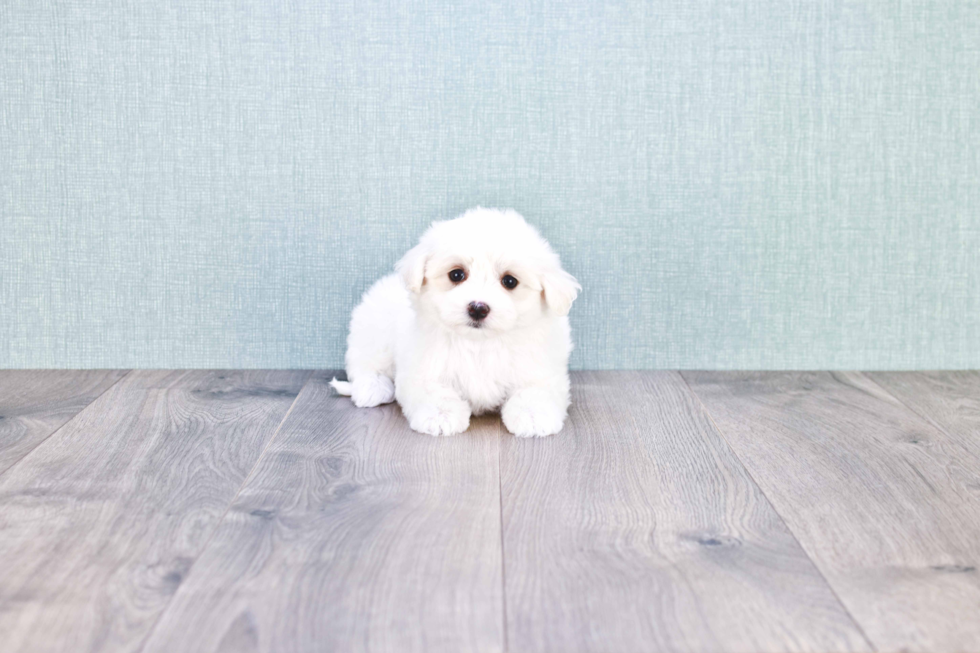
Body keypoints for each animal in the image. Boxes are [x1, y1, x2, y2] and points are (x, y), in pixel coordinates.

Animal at [330, 206, 580, 436]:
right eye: (456, 275)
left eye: (510, 281)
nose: (478, 308)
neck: (479, 343)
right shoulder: (422, 368)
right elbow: (434, 391)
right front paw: (440, 415)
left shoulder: (540, 369)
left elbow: (535, 390)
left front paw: (533, 415)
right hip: (372, 327)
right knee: (365, 362)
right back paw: (373, 387)